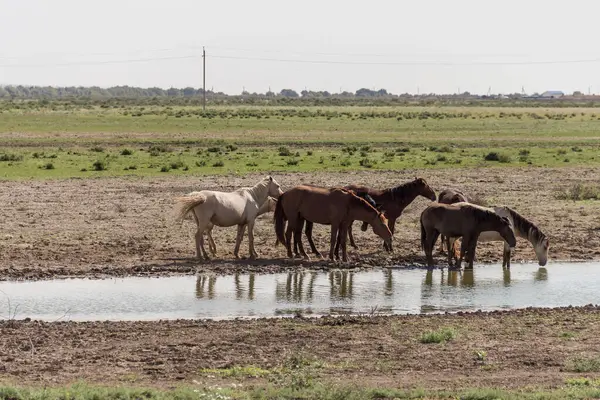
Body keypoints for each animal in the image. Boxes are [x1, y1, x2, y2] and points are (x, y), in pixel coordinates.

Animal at [300, 177, 436, 256]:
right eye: (426, 186)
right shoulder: (392, 218)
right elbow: (391, 231)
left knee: (348, 228)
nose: (434, 196)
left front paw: (386, 246)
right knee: (348, 229)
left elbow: (389, 231)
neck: (396, 198)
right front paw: (388, 248)